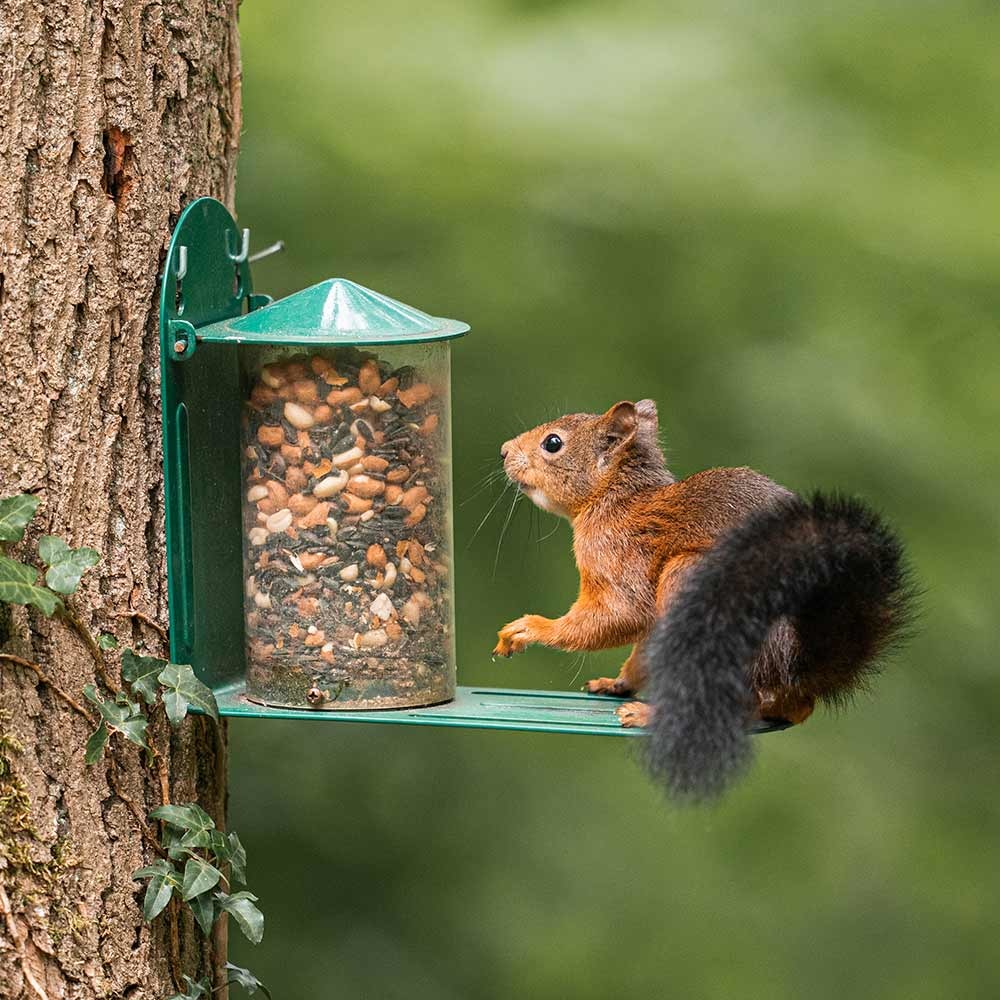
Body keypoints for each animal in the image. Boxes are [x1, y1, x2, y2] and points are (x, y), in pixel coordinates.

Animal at [492, 402, 916, 800]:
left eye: (553, 443)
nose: (503, 450)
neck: (614, 500)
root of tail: (798, 669)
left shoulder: (623, 559)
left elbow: (620, 615)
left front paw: (530, 628)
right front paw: (617, 682)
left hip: (690, 580)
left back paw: (650, 714)